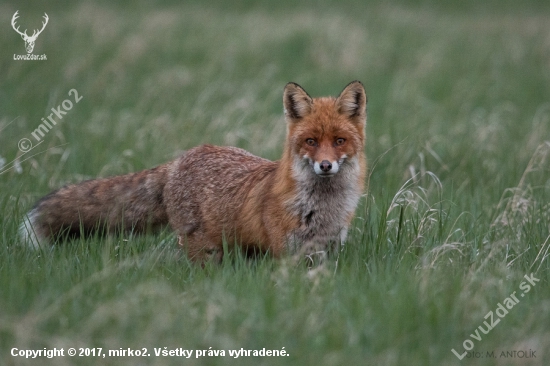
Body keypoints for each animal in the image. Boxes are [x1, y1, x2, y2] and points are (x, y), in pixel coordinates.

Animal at [19, 81, 368, 262]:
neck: (321, 209)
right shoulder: (286, 254)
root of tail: (180, 159)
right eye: (311, 141)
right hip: (204, 251)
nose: (325, 165)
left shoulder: (328, 252)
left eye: (339, 141)